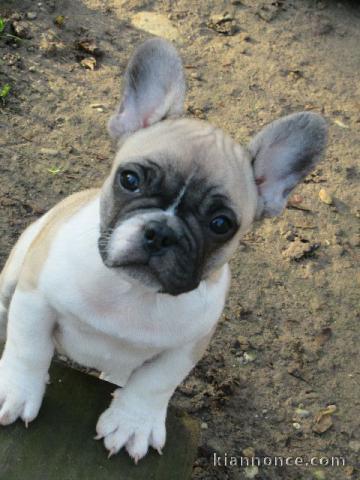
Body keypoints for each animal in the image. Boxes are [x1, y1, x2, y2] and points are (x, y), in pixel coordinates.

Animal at [0, 39, 326, 464]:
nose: (160, 233)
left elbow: (155, 384)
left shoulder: (185, 349)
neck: (131, 291)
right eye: (130, 179)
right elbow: (28, 348)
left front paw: (132, 424)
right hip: (15, 271)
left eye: (221, 223)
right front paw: (16, 391)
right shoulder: (35, 298)